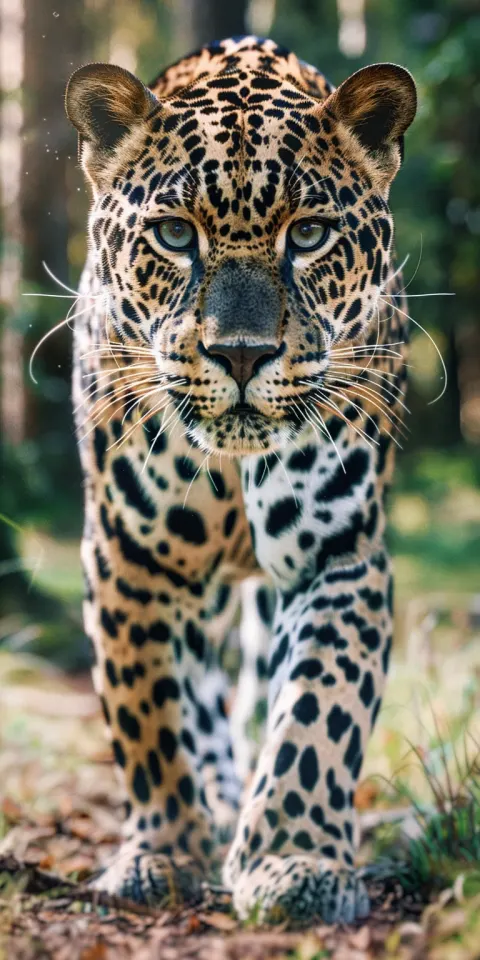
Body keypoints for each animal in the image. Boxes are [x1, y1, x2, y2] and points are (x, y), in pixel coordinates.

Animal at [65, 34, 416, 925]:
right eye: (173, 235)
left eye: (311, 234)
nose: (242, 355)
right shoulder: (129, 557)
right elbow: (151, 711)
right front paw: (165, 854)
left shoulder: (339, 553)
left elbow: (320, 708)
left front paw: (296, 860)